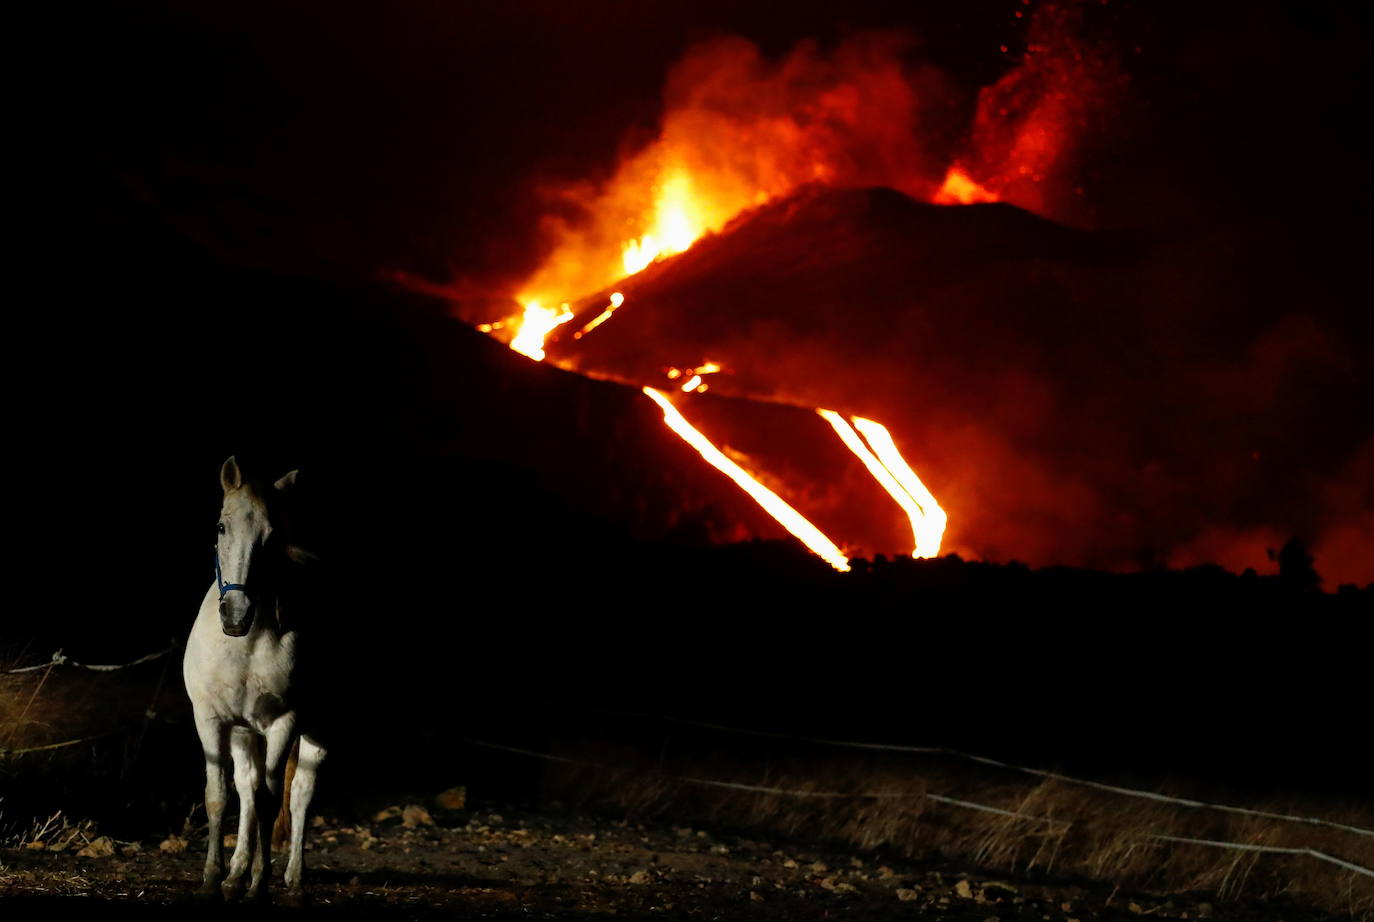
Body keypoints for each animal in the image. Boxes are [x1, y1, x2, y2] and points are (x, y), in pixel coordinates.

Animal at [182, 453, 324, 901]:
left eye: (272, 535)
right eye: (220, 526)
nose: (236, 615)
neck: (244, 645)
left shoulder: (284, 723)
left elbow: (269, 801)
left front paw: (259, 883)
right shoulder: (211, 719)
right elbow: (219, 796)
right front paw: (213, 878)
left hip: (315, 730)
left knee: (298, 795)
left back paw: (293, 877)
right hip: (245, 732)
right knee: (246, 788)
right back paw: (236, 872)